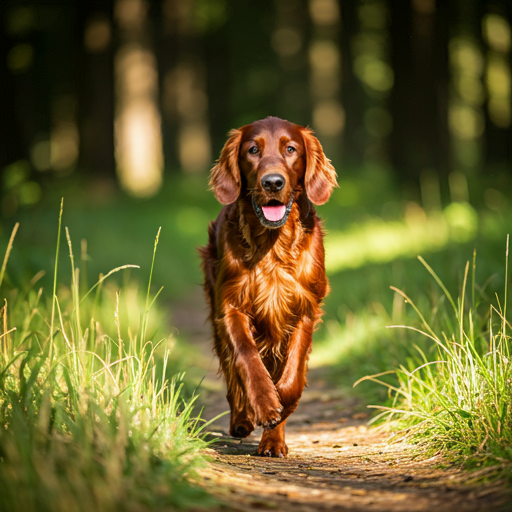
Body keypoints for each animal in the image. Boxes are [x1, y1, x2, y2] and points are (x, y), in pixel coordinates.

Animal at [199, 118, 336, 458]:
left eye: (291, 149)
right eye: (253, 150)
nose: (272, 182)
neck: (273, 245)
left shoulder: (304, 308)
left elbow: (293, 375)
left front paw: (280, 411)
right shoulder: (230, 306)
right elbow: (246, 358)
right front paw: (262, 404)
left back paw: (273, 441)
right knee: (231, 369)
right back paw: (242, 419)